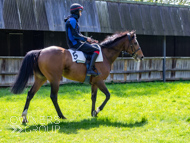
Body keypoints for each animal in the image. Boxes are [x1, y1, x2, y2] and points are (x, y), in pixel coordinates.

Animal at [10, 30, 144, 123]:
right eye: (135, 42)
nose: (141, 56)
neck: (105, 55)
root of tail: (41, 51)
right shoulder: (100, 81)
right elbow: (108, 96)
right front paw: (97, 110)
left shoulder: (94, 83)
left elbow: (94, 97)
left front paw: (93, 112)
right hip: (55, 79)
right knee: (53, 96)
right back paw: (61, 116)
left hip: (41, 79)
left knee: (30, 94)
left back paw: (24, 117)